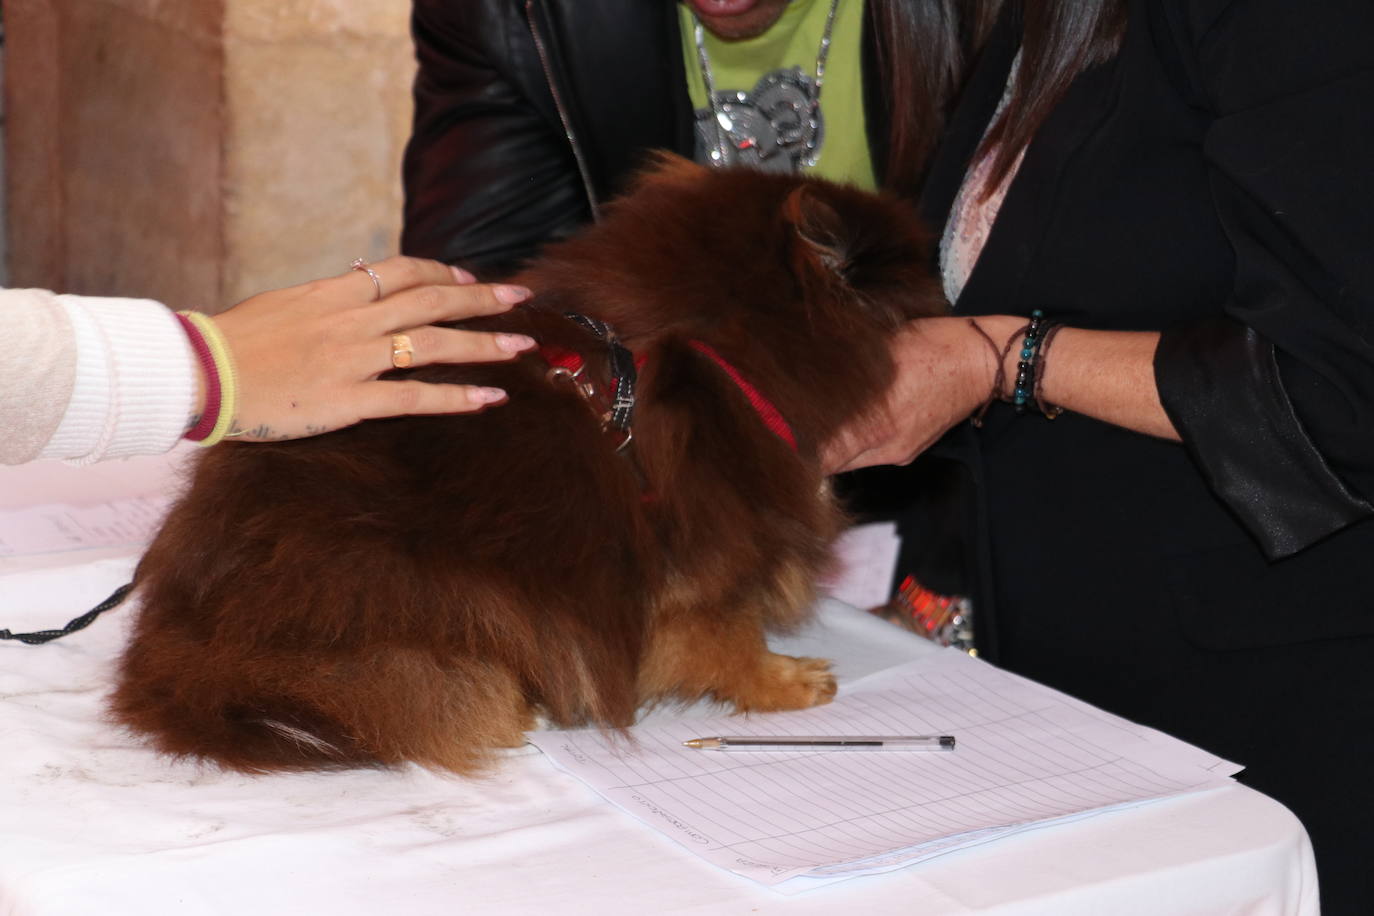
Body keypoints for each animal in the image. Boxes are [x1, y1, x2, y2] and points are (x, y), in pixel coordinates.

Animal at [109, 155, 945, 774]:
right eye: (920, 278)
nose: (950, 286)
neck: (712, 337)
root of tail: (183, 645)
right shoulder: (702, 563)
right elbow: (730, 638)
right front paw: (785, 681)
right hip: (438, 588)